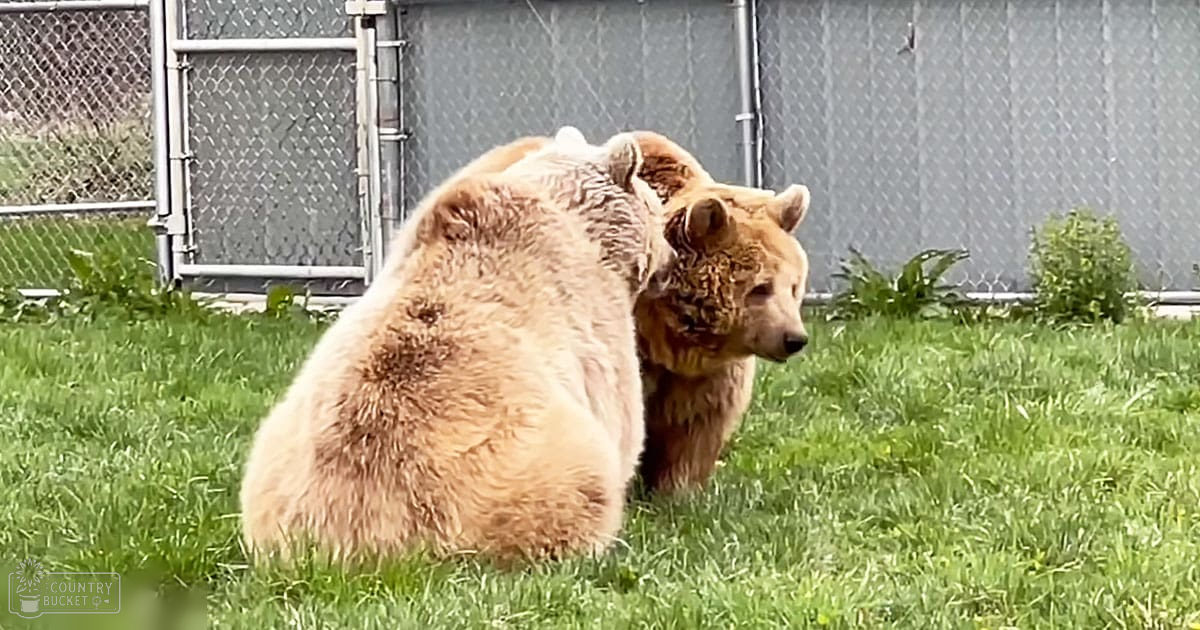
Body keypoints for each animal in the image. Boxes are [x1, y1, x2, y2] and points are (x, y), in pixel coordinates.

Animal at [237, 126, 676, 566]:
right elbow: (622, 415)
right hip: (524, 473)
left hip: (273, 459)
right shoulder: (593, 317)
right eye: (659, 209)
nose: (671, 260)